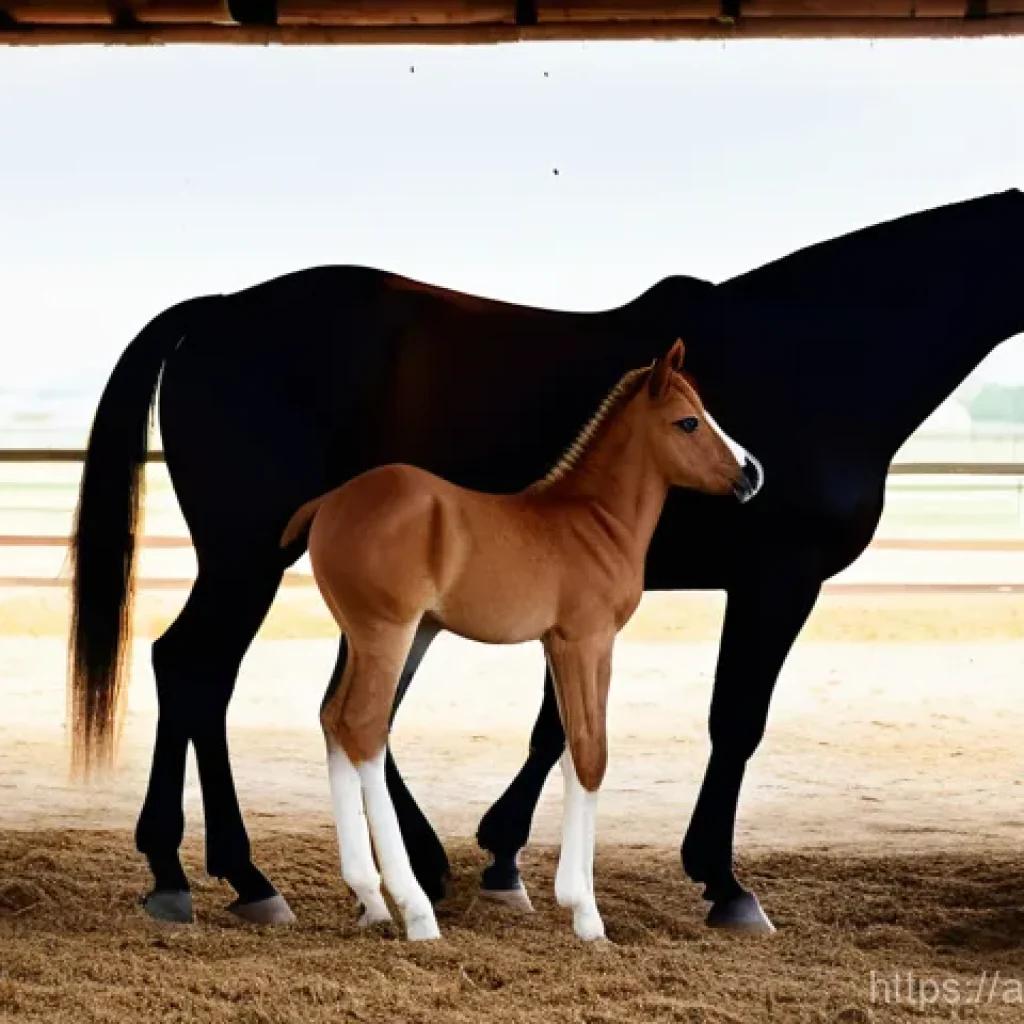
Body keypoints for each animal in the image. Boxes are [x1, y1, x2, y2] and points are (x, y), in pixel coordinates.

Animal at [279, 340, 760, 941]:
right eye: (689, 421)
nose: (751, 474)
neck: (595, 521)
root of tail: (330, 501)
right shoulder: (585, 640)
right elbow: (591, 753)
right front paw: (587, 915)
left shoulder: (561, 645)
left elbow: (570, 748)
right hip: (388, 633)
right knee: (363, 726)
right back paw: (416, 910)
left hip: (366, 638)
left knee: (332, 718)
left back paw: (370, 898)